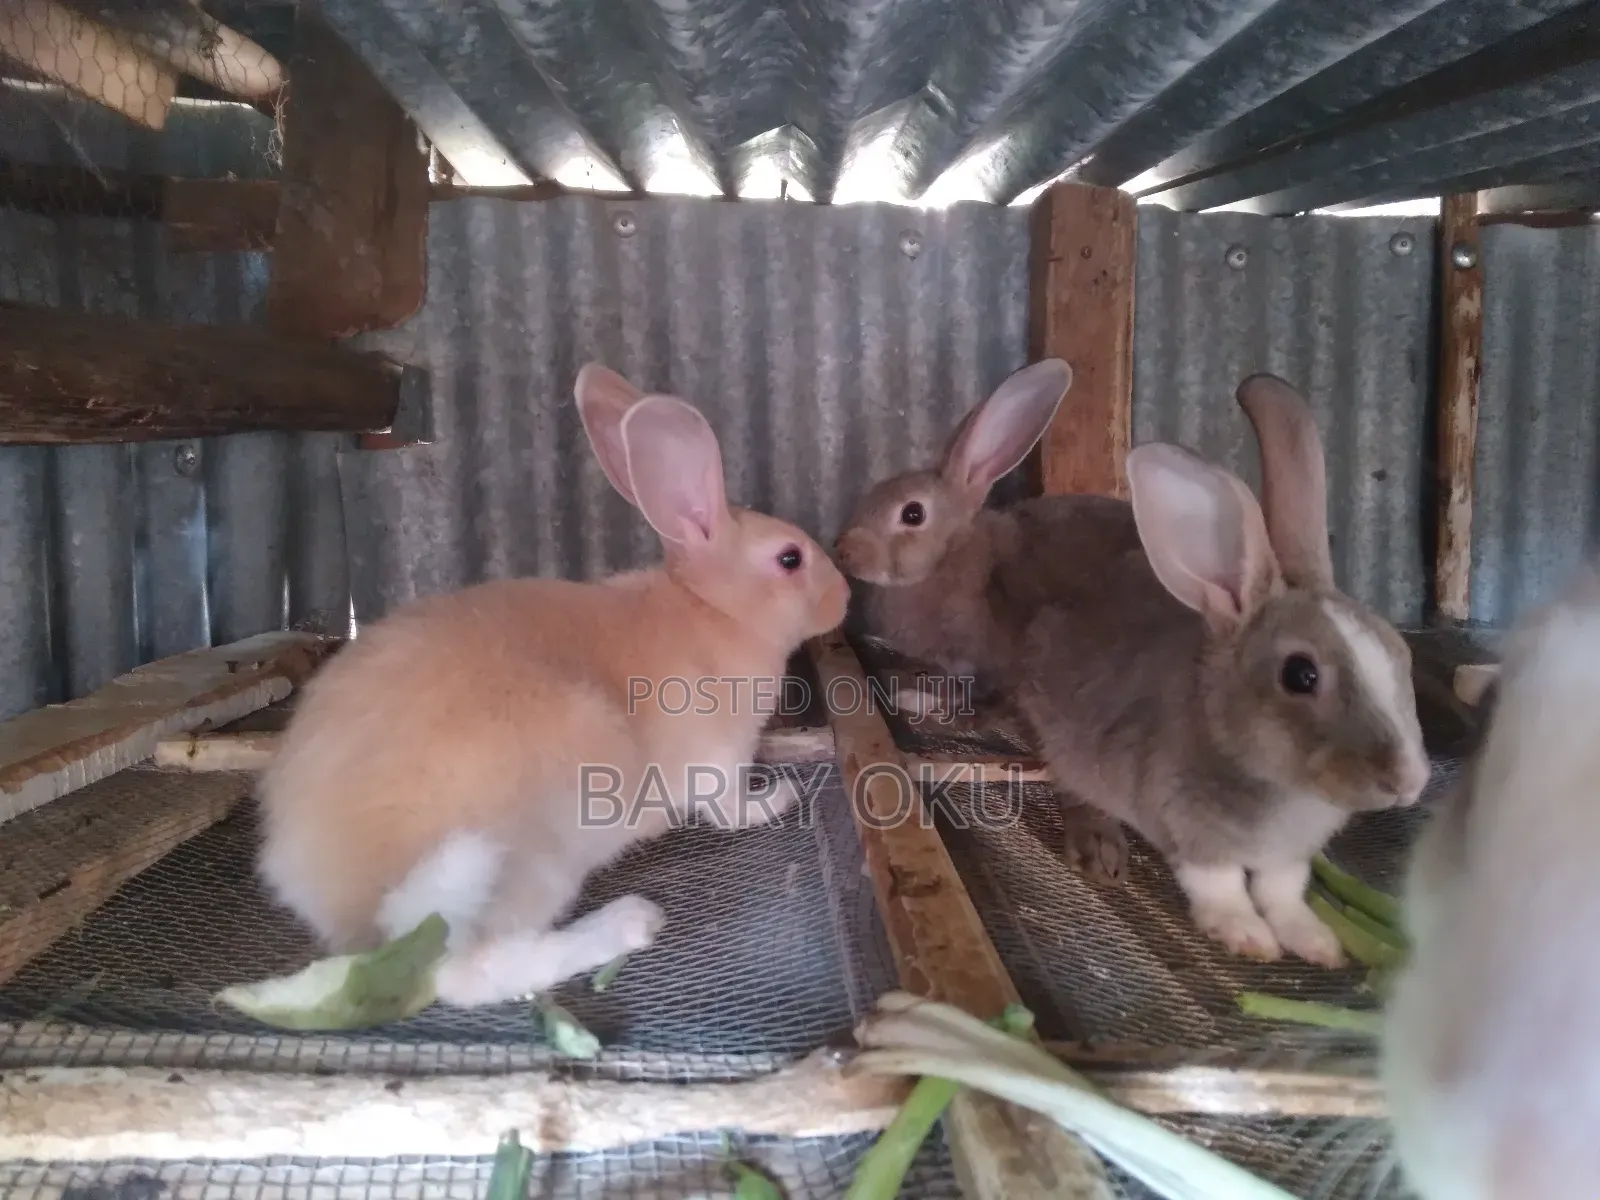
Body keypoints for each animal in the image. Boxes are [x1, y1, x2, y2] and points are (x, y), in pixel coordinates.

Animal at [255, 363, 851, 1008]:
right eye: (790, 559)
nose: (845, 596)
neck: (713, 611)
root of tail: (339, 891)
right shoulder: (717, 759)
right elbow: (731, 808)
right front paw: (776, 799)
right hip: (531, 854)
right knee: (471, 970)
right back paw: (627, 924)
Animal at [1003, 374, 1432, 964]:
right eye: (1301, 675)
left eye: (1402, 654)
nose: (1408, 781)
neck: (1289, 789)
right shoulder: (1188, 827)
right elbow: (1221, 884)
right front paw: (1246, 936)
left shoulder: (1288, 856)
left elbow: (1282, 891)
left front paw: (1314, 942)